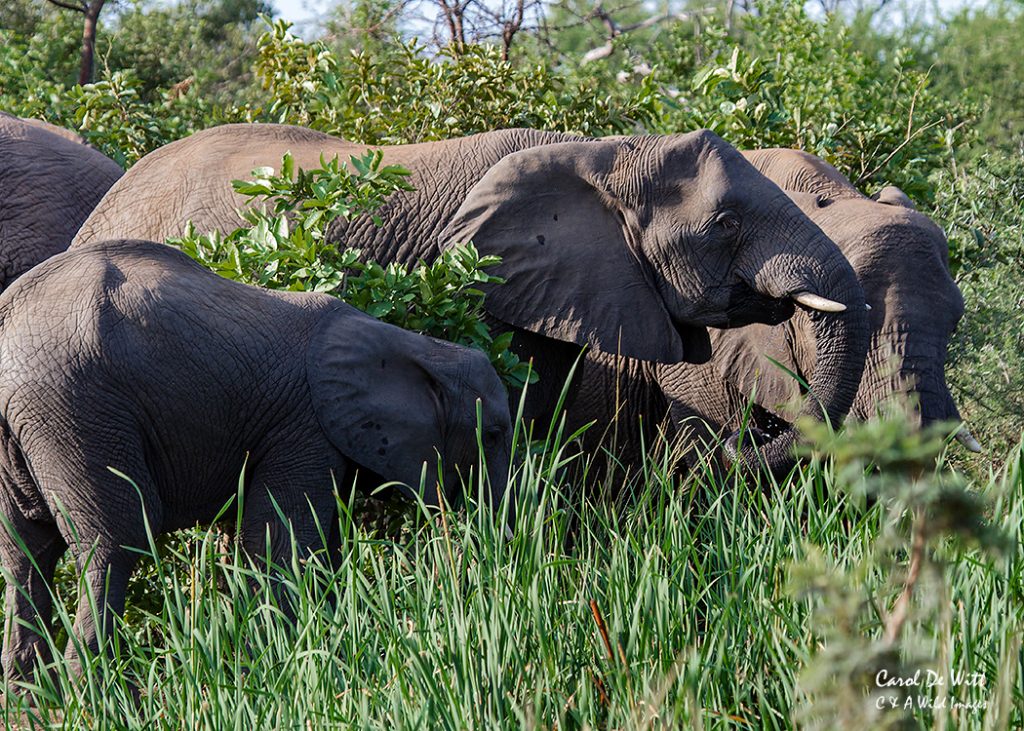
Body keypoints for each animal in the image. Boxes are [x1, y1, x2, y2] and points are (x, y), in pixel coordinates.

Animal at [0, 239, 512, 683]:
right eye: (492, 434)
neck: (417, 346)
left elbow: (318, 544)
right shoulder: (303, 426)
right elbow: (278, 543)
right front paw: (274, 668)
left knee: (26, 555)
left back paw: (37, 703)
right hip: (76, 407)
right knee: (116, 542)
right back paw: (99, 697)